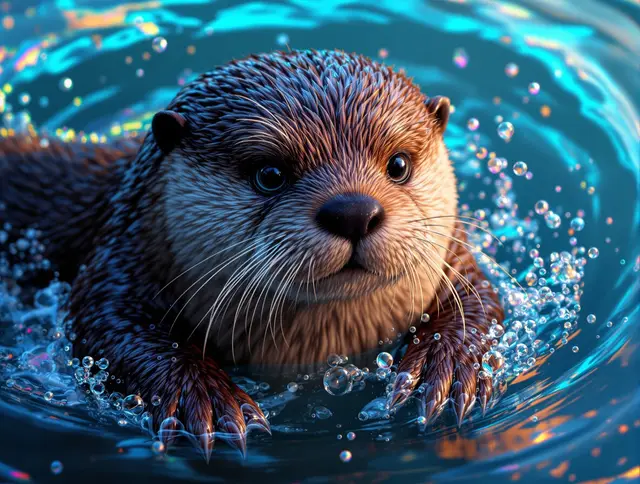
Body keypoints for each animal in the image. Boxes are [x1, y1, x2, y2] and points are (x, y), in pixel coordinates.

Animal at [1, 49, 503, 457]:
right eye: (269, 174)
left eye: (398, 164)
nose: (354, 211)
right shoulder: (115, 268)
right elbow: (108, 324)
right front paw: (203, 399)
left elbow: (481, 302)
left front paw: (448, 365)